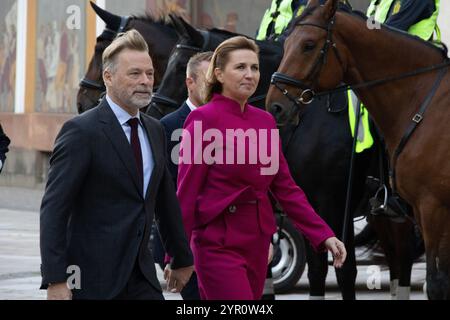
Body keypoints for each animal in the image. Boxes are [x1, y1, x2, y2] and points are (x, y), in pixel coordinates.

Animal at [268, 0, 450, 300]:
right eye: (285, 43)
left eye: (308, 45)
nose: (275, 106)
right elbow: (317, 271)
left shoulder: (432, 207)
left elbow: (346, 271)